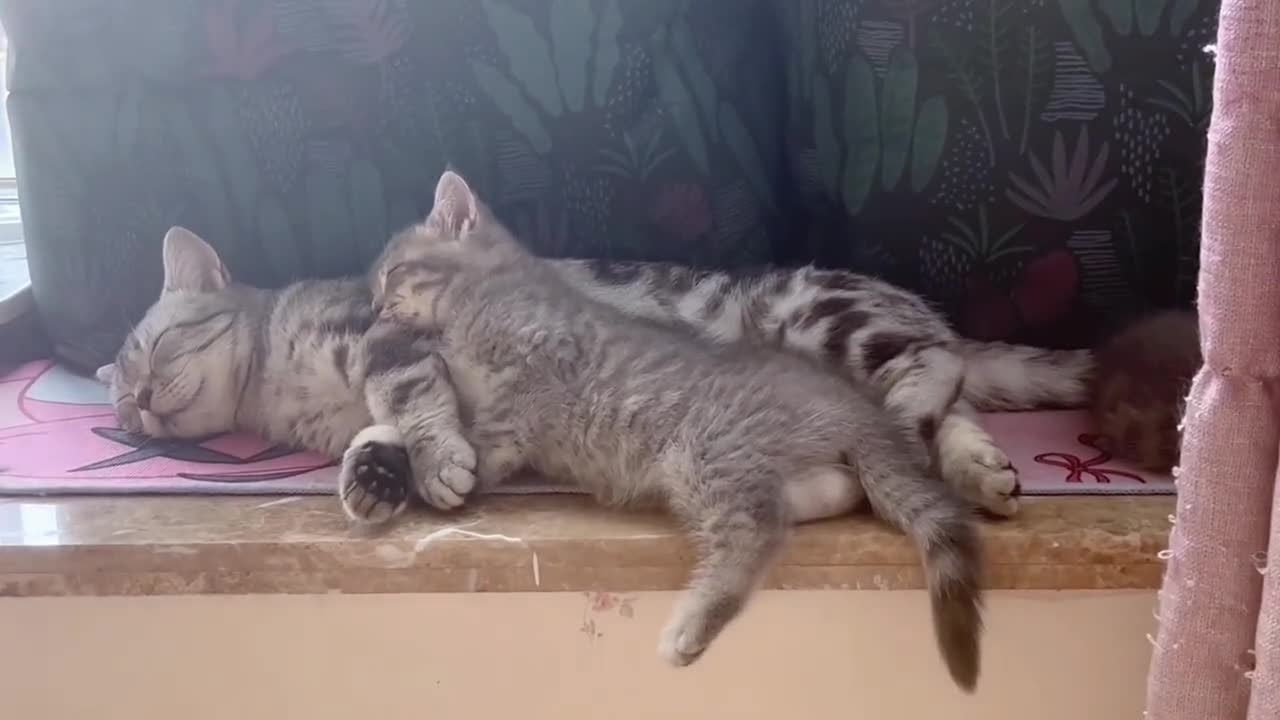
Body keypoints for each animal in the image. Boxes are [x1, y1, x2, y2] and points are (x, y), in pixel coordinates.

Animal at [366, 169, 983, 691]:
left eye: (391, 273)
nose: (371, 308)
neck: (481, 291)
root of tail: (855, 409)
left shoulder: (526, 380)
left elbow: (489, 436)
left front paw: (441, 470)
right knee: (819, 496)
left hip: (704, 455)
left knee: (755, 531)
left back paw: (692, 627)